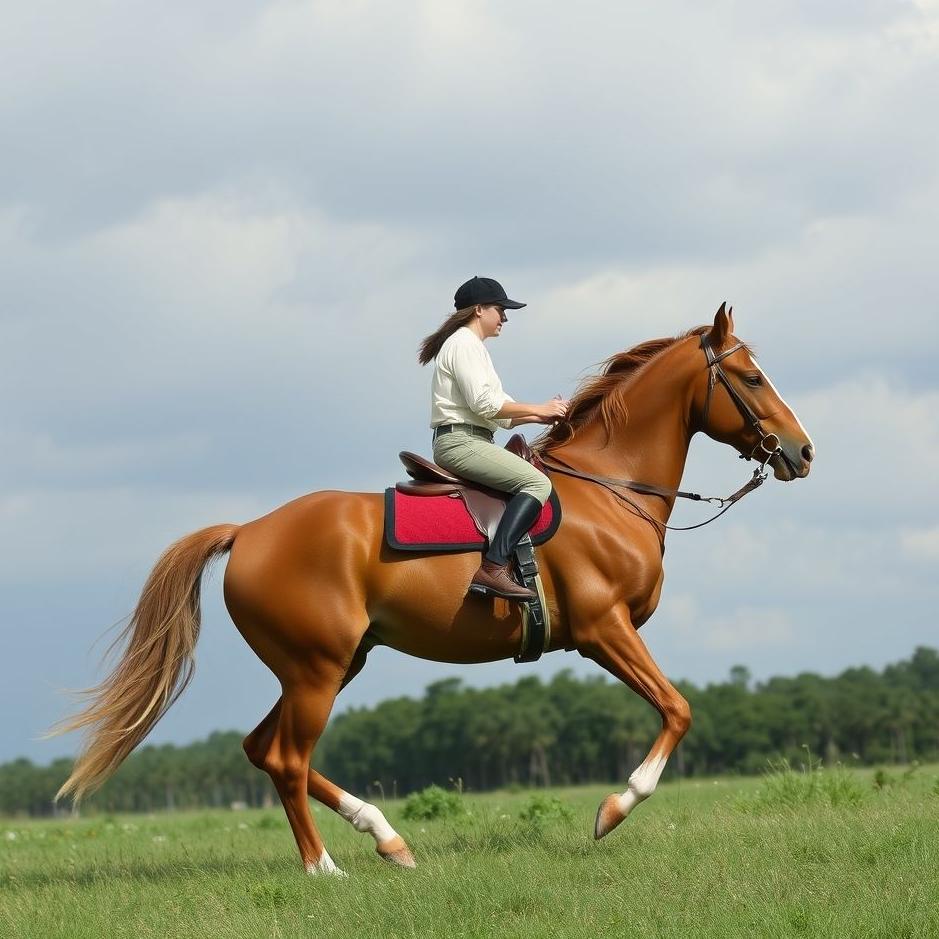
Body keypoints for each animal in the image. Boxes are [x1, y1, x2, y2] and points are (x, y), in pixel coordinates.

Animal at [52, 303, 814, 875]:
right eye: (751, 376)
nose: (802, 452)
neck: (608, 490)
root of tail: (248, 531)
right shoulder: (605, 630)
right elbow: (677, 709)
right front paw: (612, 809)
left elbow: (673, 709)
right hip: (316, 670)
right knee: (287, 758)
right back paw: (324, 867)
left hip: (330, 665)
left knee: (261, 749)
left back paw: (387, 838)